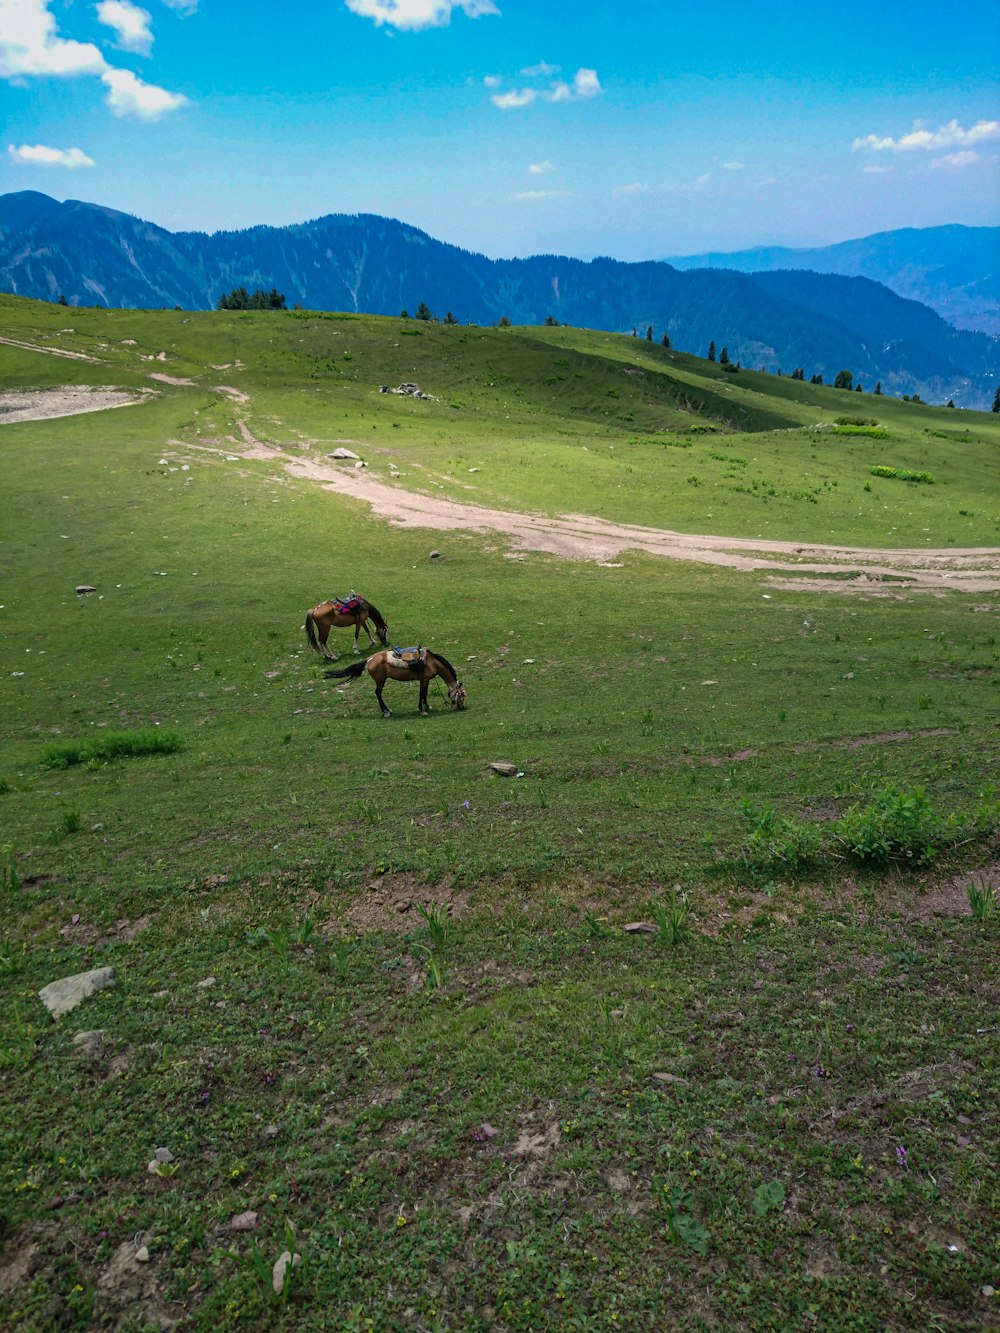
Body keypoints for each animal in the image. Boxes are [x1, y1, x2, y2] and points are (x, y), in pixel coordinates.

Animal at [326, 647, 472, 719]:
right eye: (462, 695)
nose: (461, 707)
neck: (432, 663)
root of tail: (369, 659)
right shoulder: (424, 680)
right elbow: (422, 694)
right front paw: (422, 710)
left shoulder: (426, 680)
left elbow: (424, 694)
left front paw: (427, 707)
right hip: (380, 681)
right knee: (378, 693)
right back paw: (386, 711)